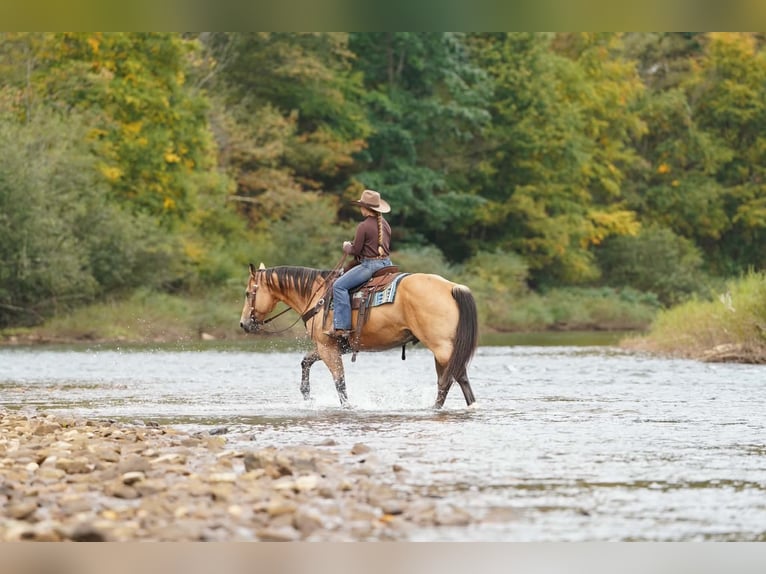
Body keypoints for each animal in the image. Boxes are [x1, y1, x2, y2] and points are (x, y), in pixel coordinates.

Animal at [239, 263, 478, 409]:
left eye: (248, 293)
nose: (243, 324)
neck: (317, 296)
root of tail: (451, 287)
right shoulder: (332, 347)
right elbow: (306, 361)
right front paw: (307, 394)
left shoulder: (327, 347)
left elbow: (339, 381)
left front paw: (348, 406)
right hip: (443, 350)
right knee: (448, 380)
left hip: (441, 348)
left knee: (454, 377)